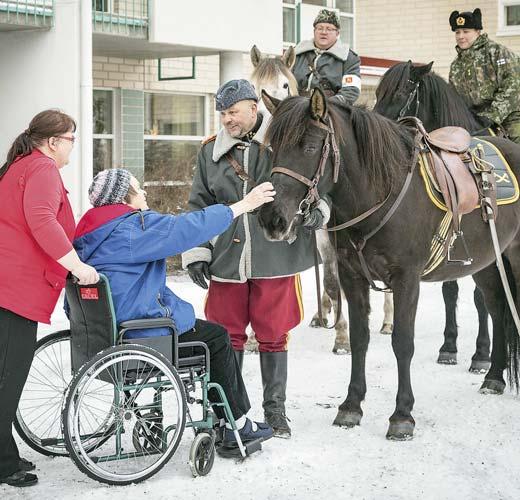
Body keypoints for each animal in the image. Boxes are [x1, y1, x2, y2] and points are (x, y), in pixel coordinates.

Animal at [260, 89, 520, 438]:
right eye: (272, 147)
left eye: (310, 147)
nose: (272, 219)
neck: (380, 194)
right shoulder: (352, 277)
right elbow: (359, 339)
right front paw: (351, 406)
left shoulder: (406, 279)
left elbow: (402, 342)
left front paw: (402, 415)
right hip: (488, 264)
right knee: (496, 308)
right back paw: (493, 376)